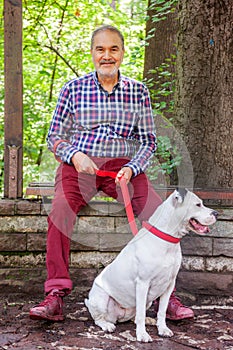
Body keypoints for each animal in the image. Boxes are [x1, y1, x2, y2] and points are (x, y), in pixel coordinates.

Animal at [84, 189, 218, 342]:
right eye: (198, 204)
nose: (216, 213)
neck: (168, 240)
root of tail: (119, 317)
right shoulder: (143, 283)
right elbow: (141, 313)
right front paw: (142, 334)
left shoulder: (169, 285)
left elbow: (162, 311)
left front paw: (163, 329)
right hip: (101, 298)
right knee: (100, 319)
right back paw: (107, 325)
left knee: (135, 316)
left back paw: (148, 320)